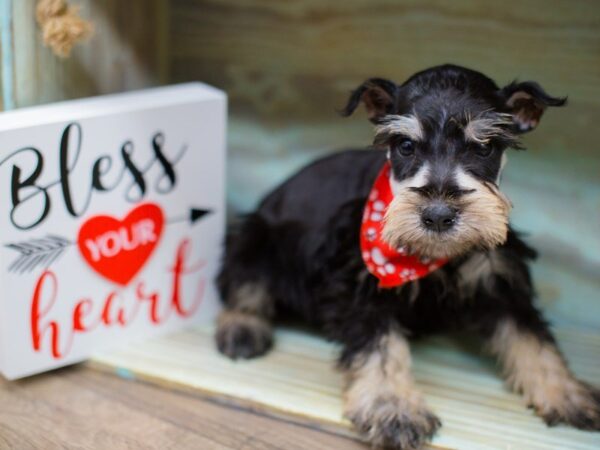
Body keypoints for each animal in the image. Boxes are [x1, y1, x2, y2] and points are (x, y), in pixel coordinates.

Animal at [213, 64, 596, 450]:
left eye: (485, 148)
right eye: (405, 146)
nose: (439, 216)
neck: (434, 256)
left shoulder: (499, 278)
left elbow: (532, 339)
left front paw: (566, 392)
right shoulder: (362, 286)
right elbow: (381, 349)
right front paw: (393, 408)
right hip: (254, 238)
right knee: (244, 284)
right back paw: (242, 328)